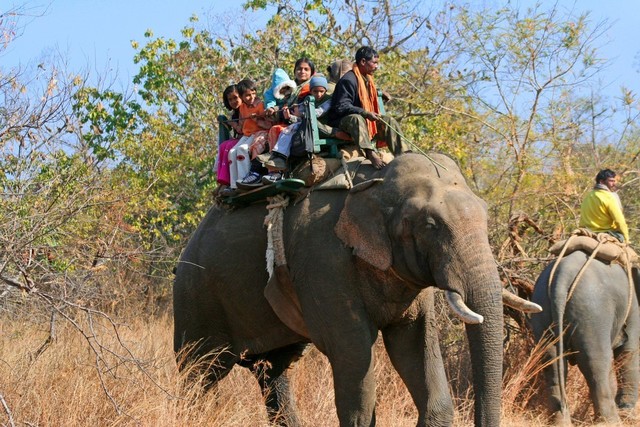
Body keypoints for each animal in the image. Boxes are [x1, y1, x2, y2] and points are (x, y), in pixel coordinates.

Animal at [173, 152, 539, 426]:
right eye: (430, 225)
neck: (375, 181)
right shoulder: (321, 259)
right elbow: (354, 354)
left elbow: (413, 344)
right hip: (195, 296)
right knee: (199, 372)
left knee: (273, 373)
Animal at [529, 250, 640, 424]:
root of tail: (562, 275)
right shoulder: (632, 305)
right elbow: (628, 352)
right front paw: (628, 417)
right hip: (592, 310)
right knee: (595, 361)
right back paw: (611, 422)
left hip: (542, 306)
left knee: (551, 359)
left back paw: (561, 422)